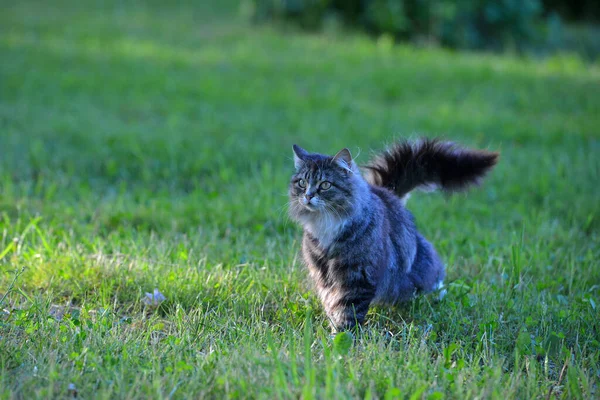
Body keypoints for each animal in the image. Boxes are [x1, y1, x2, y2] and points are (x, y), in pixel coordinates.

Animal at [288, 138, 500, 332]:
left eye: (325, 185)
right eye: (302, 183)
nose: (308, 195)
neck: (326, 223)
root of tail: (388, 194)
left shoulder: (359, 276)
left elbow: (348, 311)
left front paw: (342, 337)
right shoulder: (323, 276)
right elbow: (333, 306)